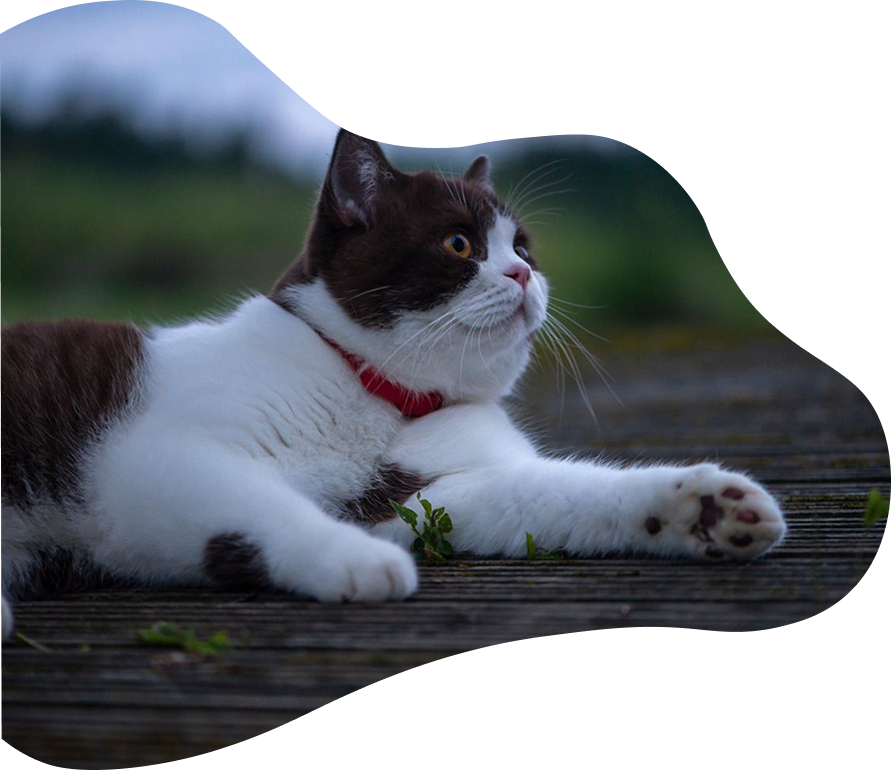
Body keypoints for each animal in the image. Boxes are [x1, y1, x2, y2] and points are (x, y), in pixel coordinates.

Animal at [0, 134, 784, 640]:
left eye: (522, 248)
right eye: (459, 244)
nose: (523, 274)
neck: (381, 396)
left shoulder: (432, 491)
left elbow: (554, 496)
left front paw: (702, 510)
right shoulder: (158, 459)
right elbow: (262, 500)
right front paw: (359, 561)